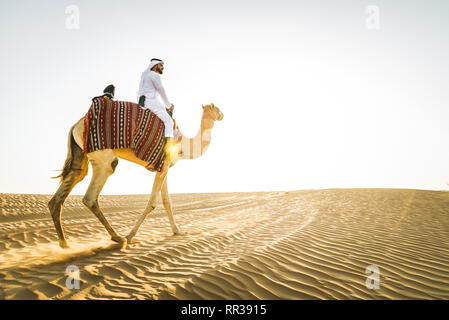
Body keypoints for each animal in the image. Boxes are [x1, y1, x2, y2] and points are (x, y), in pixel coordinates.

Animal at [47, 104, 222, 249]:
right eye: (216, 109)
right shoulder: (163, 165)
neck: (183, 145)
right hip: (103, 157)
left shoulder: (163, 168)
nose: (222, 114)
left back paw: (64, 244)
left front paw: (177, 231)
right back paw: (118, 238)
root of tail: (75, 125)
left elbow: (167, 202)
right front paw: (130, 235)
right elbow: (152, 203)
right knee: (92, 193)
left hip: (79, 153)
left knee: (70, 183)